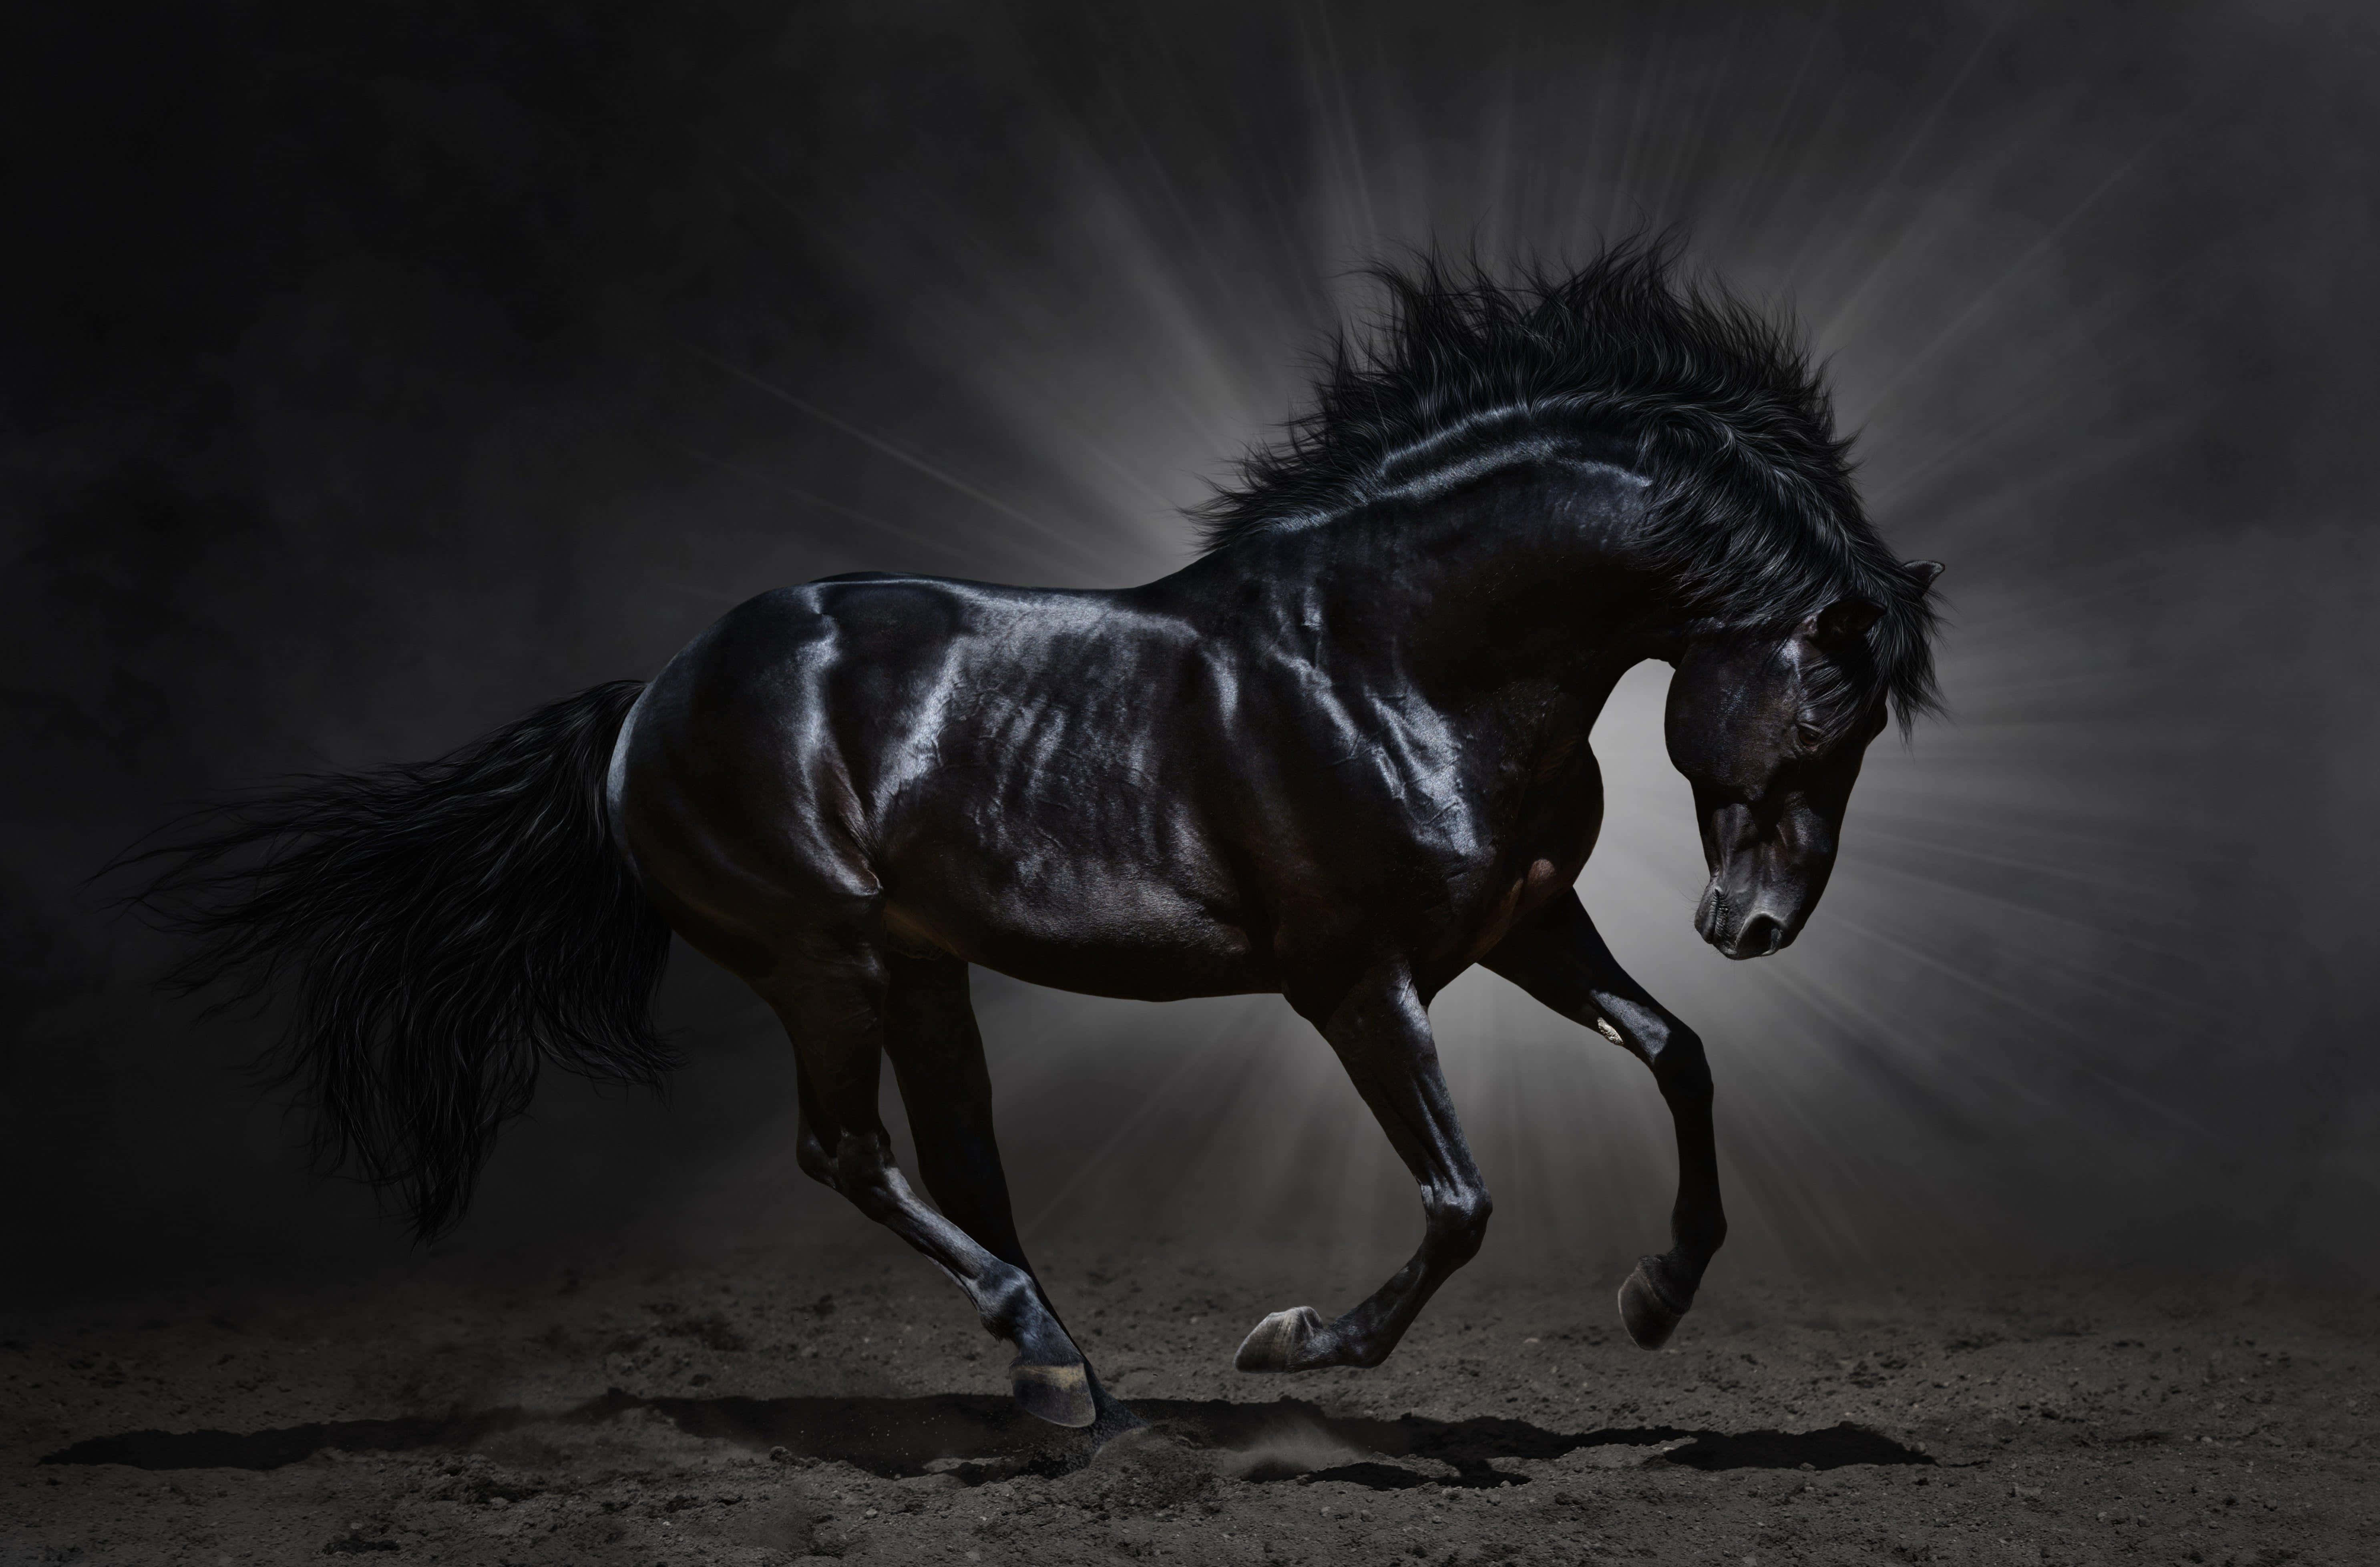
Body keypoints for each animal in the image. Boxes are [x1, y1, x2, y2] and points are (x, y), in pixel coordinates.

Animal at [134, 243, 1942, 1442]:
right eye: (1822, 715)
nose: (1754, 925)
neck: (1393, 658)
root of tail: (647, 697)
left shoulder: (1520, 927)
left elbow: (1678, 1054)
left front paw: (1656, 1296)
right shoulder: (1355, 981)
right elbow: (1459, 1198)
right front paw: (1291, 1346)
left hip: (919, 969)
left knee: (958, 1163)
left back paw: (1064, 1379)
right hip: (821, 957)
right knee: (848, 1153)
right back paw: (1055, 1365)